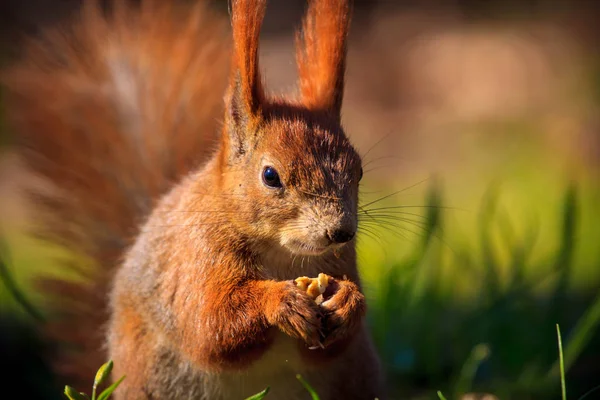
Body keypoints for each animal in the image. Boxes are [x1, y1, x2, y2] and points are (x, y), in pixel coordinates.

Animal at [2, 0, 386, 398]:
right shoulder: (196, 256)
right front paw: (280, 301)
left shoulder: (341, 260)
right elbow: (210, 326)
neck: (282, 254)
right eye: (270, 176)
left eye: (358, 170)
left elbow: (332, 344)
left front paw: (347, 300)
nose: (340, 231)